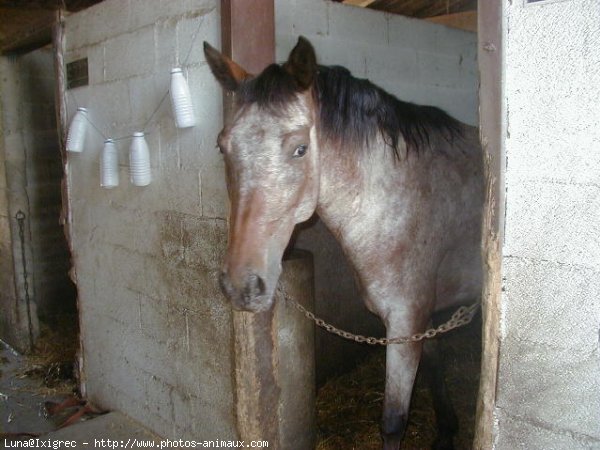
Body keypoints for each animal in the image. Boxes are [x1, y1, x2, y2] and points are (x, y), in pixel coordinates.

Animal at [204, 36, 486, 450]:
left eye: (301, 149)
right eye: (223, 146)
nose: (240, 286)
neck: (399, 197)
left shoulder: (405, 320)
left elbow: (393, 420)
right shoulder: (423, 318)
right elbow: (435, 367)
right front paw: (447, 431)